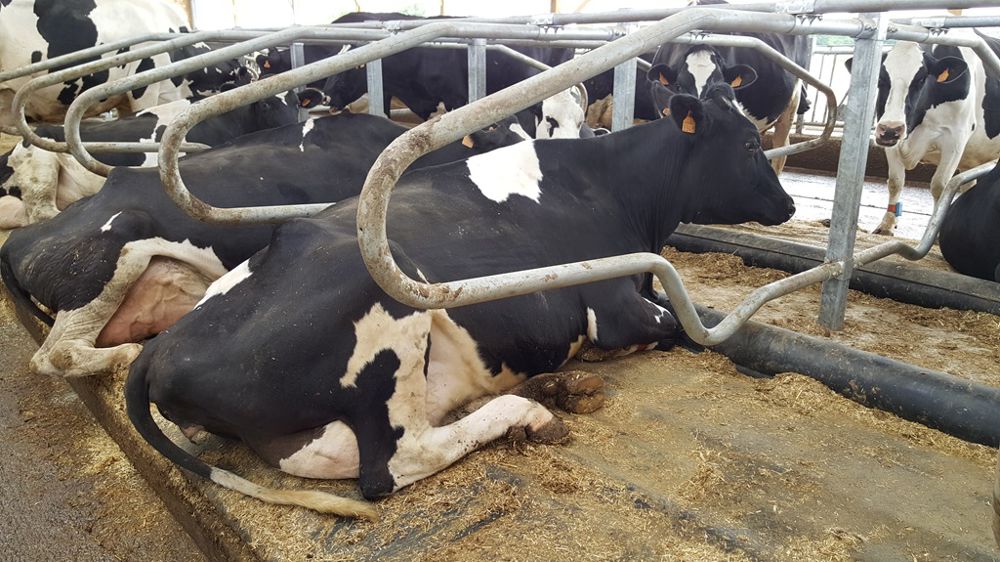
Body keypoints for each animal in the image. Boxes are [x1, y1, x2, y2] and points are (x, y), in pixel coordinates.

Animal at [123, 84, 795, 518]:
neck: (616, 192)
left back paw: (552, 389)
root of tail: (161, 348)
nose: (789, 204)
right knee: (392, 464)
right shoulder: (615, 305)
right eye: (749, 145)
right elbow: (683, 326)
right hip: (390, 305)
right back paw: (531, 412)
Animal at [846, 31, 1000, 235]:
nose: (891, 130)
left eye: (920, 80)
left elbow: (940, 186)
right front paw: (886, 225)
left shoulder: (956, 139)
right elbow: (895, 181)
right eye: (880, 79)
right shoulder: (891, 139)